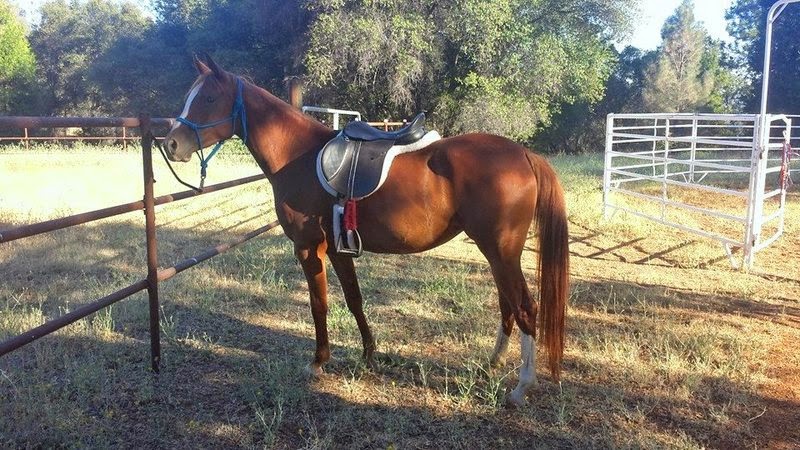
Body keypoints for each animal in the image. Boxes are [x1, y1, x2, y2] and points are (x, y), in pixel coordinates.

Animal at [162, 55, 569, 407]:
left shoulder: (309, 247)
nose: (171, 144)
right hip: (496, 252)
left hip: (500, 251)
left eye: (209, 98)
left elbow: (319, 303)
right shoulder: (337, 248)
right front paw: (370, 354)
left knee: (525, 308)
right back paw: (492, 363)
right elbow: (355, 300)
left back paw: (521, 387)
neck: (299, 158)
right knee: (507, 305)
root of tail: (523, 154)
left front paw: (318, 361)